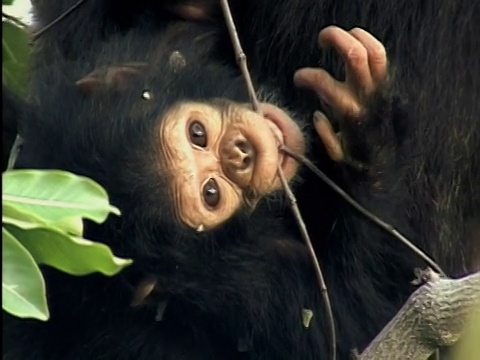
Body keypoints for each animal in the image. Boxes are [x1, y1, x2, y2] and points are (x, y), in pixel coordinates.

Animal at [3, 0, 480, 360]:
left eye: (197, 133)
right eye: (212, 194)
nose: (240, 155)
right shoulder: (251, 293)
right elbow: (364, 319)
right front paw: (365, 134)